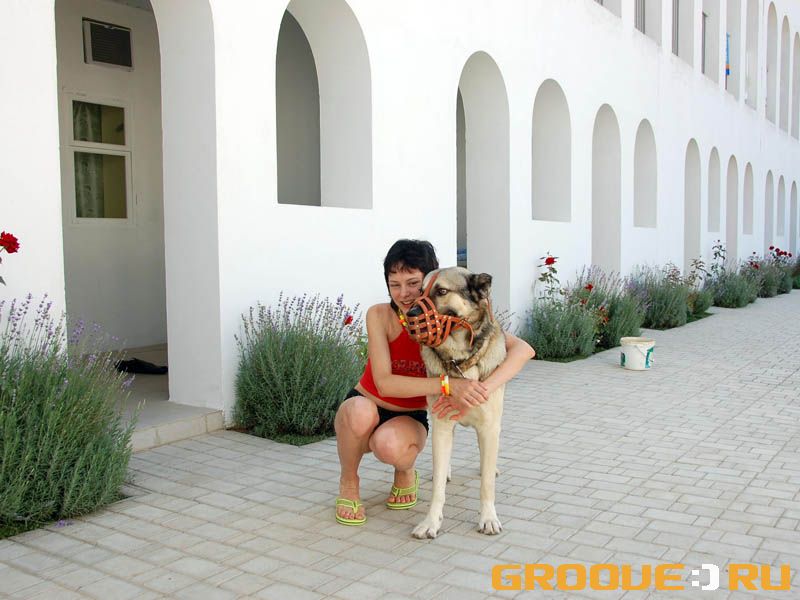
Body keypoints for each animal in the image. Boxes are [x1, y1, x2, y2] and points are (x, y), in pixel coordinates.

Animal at [409, 266, 507, 538]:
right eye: (419, 291)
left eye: (442, 291)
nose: (409, 314)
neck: (459, 361)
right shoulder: (442, 426)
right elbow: (438, 489)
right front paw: (431, 522)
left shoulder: (489, 427)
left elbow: (486, 484)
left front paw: (488, 518)